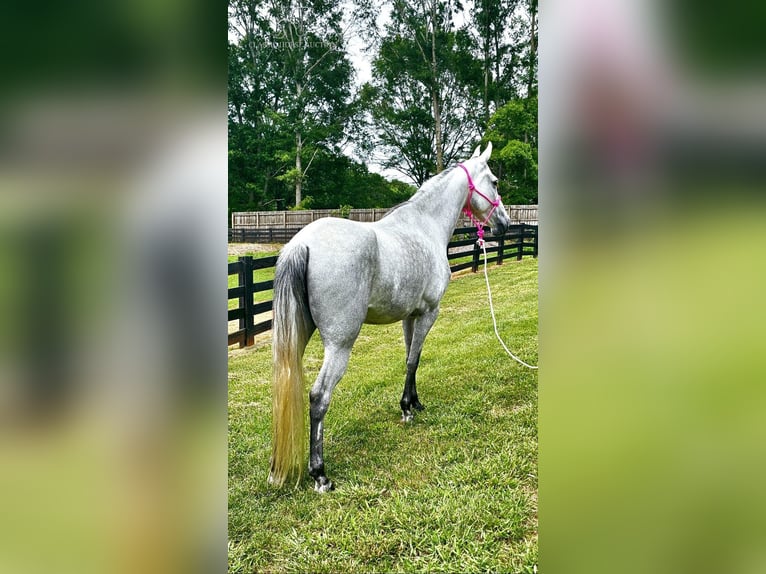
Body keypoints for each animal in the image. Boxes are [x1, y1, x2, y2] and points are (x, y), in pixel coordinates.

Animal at [268, 142, 512, 492]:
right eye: (494, 181)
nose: (504, 223)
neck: (425, 225)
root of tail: (302, 243)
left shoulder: (410, 316)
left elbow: (411, 358)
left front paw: (413, 402)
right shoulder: (429, 313)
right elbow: (414, 360)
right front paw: (408, 409)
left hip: (295, 339)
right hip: (340, 345)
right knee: (318, 396)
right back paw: (320, 474)